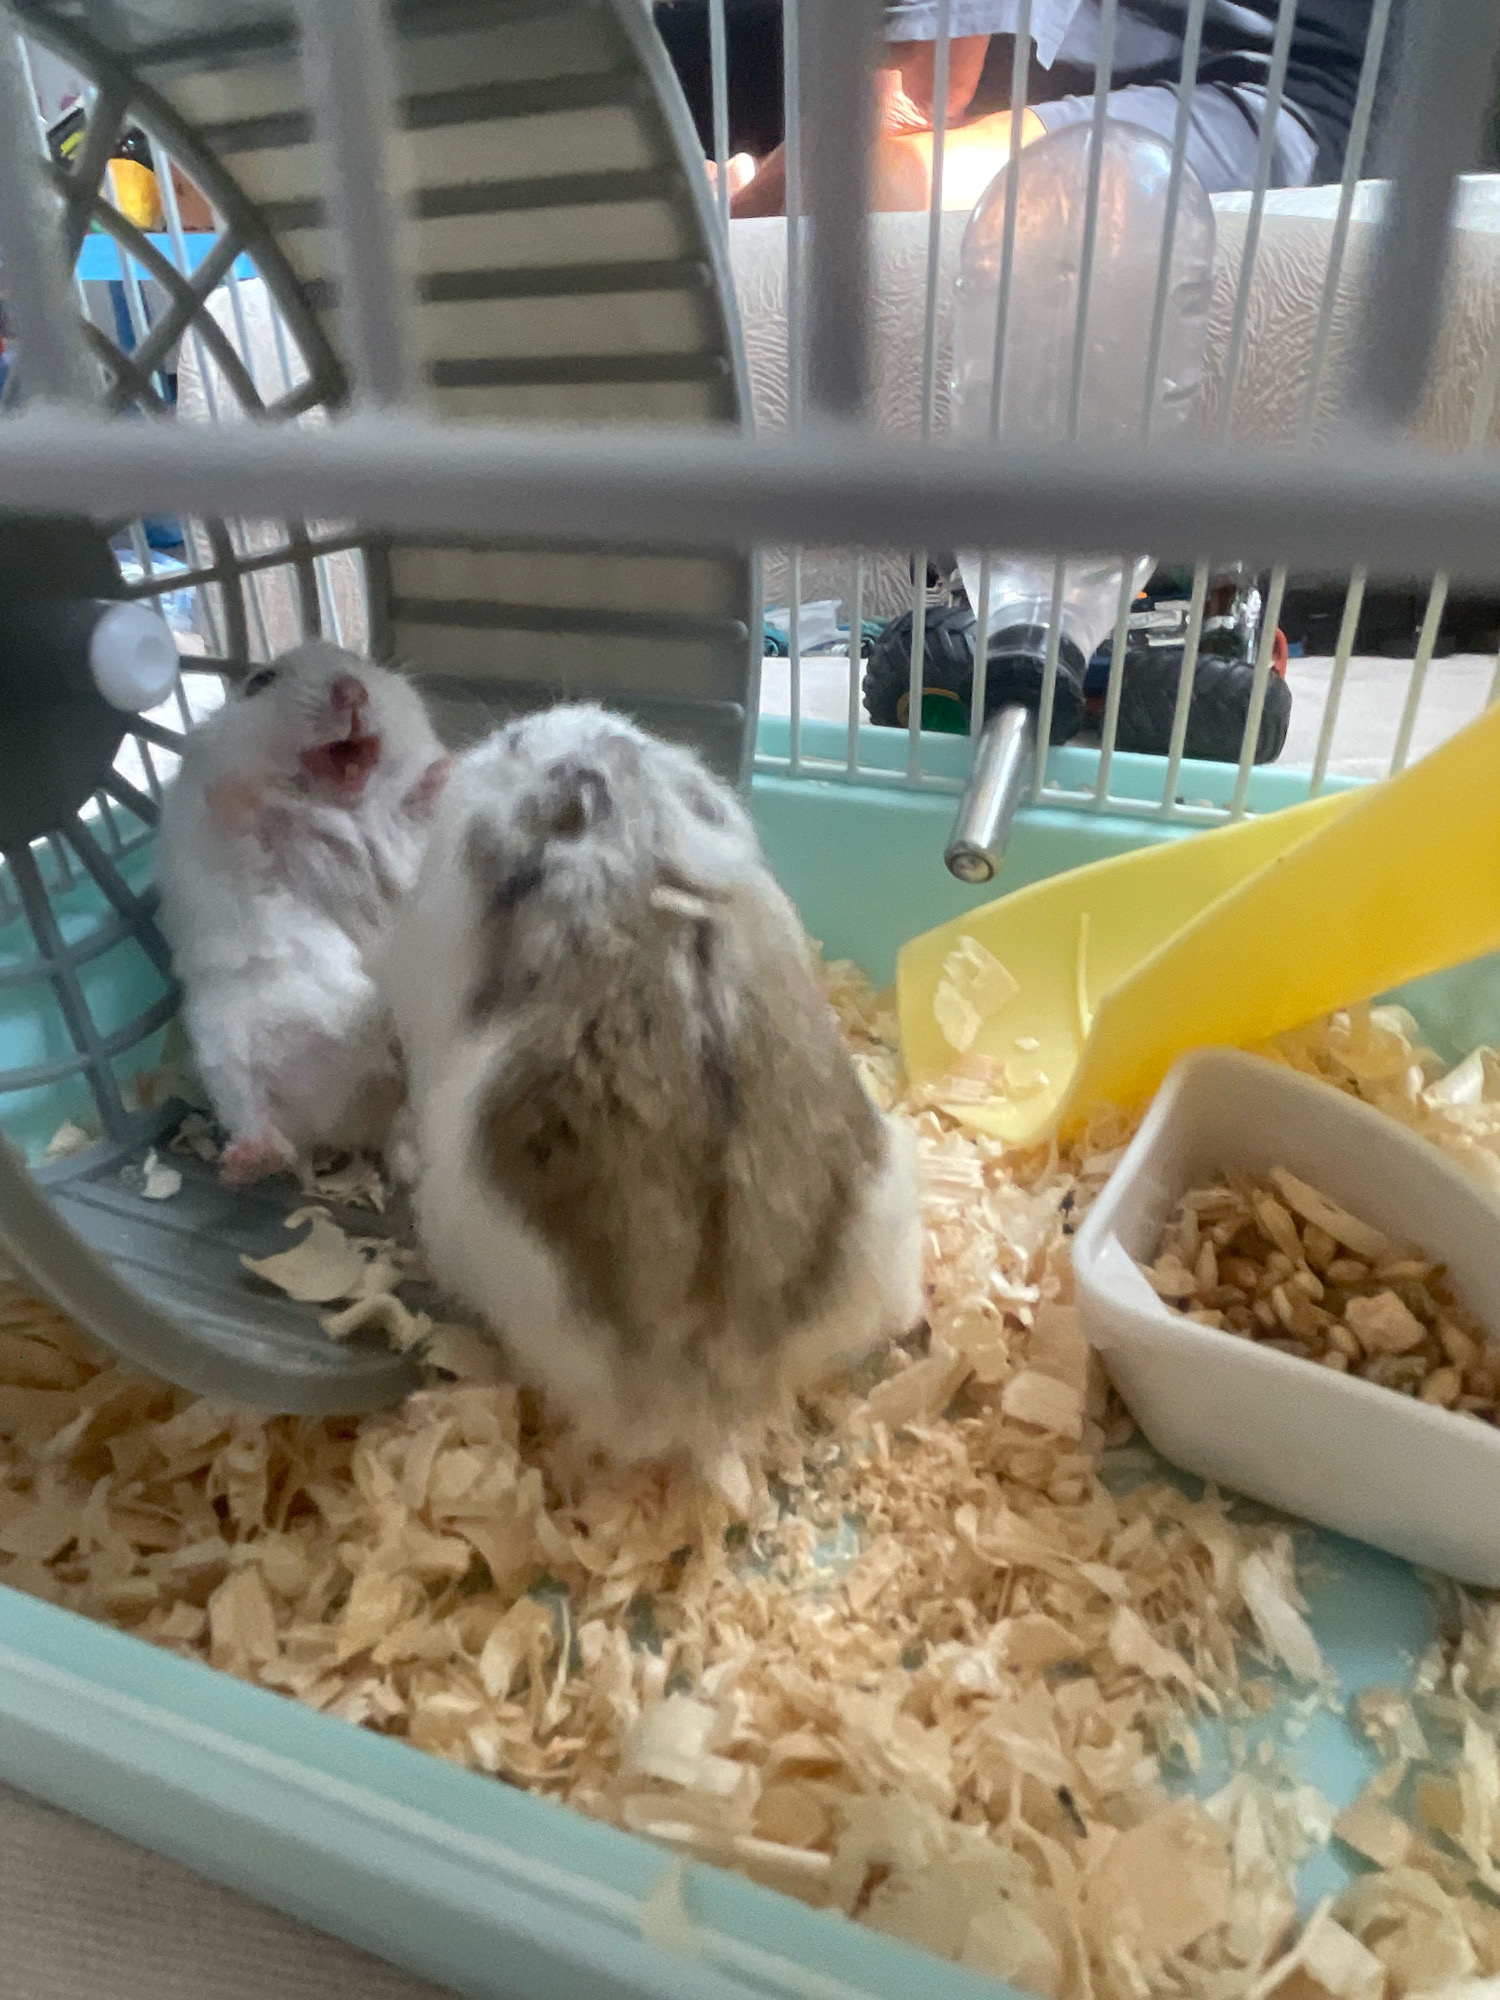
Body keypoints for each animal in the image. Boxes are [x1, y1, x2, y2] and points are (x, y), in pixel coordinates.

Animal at [157, 639, 449, 1185]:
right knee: (256, 1112)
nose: (351, 691)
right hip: (224, 1039)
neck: (345, 806)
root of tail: (356, 1124)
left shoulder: (406, 841)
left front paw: (445, 768)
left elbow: (413, 815)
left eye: (365, 664)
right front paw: (240, 794)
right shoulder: (232, 852)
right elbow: (246, 825)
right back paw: (247, 1160)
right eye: (261, 680)